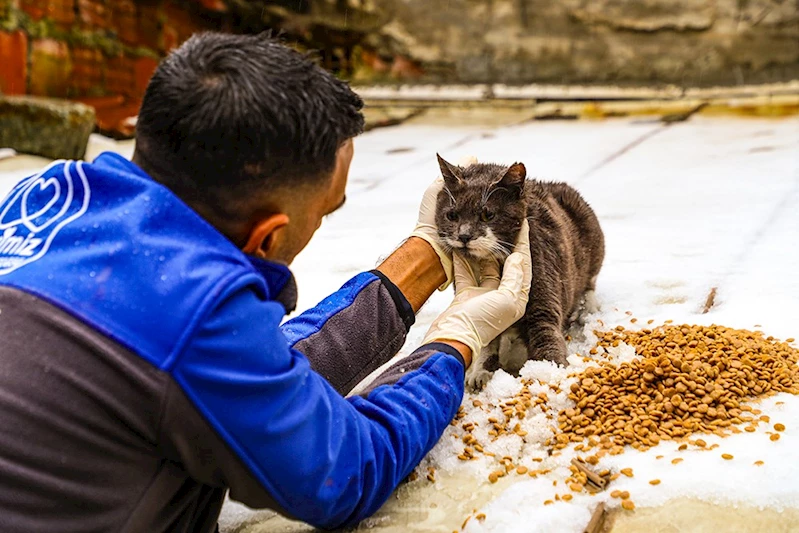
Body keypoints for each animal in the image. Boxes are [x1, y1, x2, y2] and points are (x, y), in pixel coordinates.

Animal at [438, 154, 600, 386]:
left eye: (487, 215)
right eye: (452, 215)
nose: (464, 235)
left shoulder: (542, 293)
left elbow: (546, 334)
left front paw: (551, 373)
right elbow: (486, 340)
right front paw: (480, 372)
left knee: (590, 282)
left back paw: (587, 307)